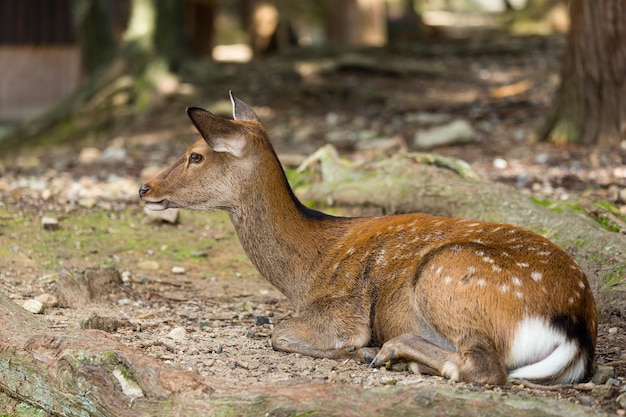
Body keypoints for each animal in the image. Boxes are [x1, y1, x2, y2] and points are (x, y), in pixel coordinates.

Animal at [139, 91, 596, 384]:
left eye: (196, 155)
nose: (144, 187)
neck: (304, 272)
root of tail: (575, 327)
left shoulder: (342, 308)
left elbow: (279, 332)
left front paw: (357, 350)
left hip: (447, 274)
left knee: (484, 368)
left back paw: (388, 353)